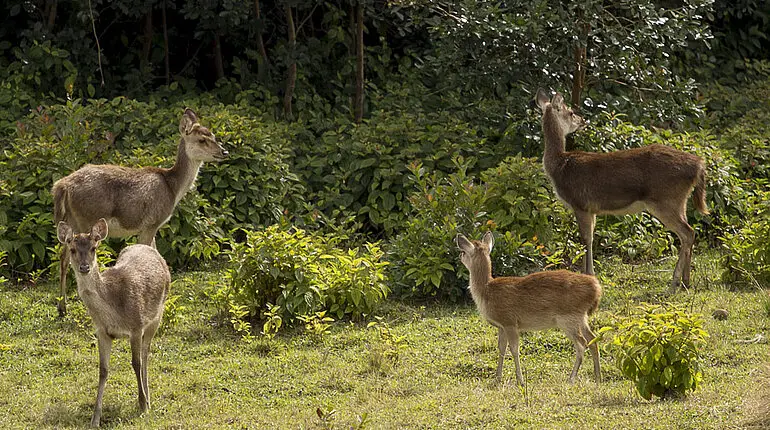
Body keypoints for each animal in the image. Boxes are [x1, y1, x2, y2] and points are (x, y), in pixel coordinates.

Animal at [51, 107, 225, 316]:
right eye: (201, 139)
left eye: (213, 135)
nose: (224, 151)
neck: (173, 189)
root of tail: (62, 186)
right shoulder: (151, 222)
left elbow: (157, 254)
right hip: (86, 218)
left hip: (71, 220)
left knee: (63, 257)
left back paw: (62, 308)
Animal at [56, 220, 170, 428]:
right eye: (73, 249)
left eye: (93, 248)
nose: (84, 267)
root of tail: (148, 248)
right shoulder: (102, 331)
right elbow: (103, 370)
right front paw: (95, 419)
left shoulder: (136, 325)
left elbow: (136, 363)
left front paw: (143, 406)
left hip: (157, 316)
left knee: (146, 354)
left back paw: (148, 399)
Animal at [456, 232, 600, 386]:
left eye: (464, 252)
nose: (459, 255)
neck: (486, 292)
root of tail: (596, 288)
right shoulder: (501, 325)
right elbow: (501, 348)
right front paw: (497, 378)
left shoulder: (510, 321)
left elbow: (514, 350)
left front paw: (520, 381)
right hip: (581, 317)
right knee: (593, 339)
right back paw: (598, 376)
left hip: (568, 318)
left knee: (582, 344)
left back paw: (571, 378)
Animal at [536, 89, 708, 294]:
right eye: (570, 112)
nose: (583, 120)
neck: (559, 166)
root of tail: (698, 165)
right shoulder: (591, 209)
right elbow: (589, 237)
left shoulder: (580, 203)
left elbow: (586, 238)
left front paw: (589, 274)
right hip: (679, 201)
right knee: (689, 232)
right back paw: (686, 282)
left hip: (665, 200)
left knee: (687, 233)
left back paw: (674, 283)